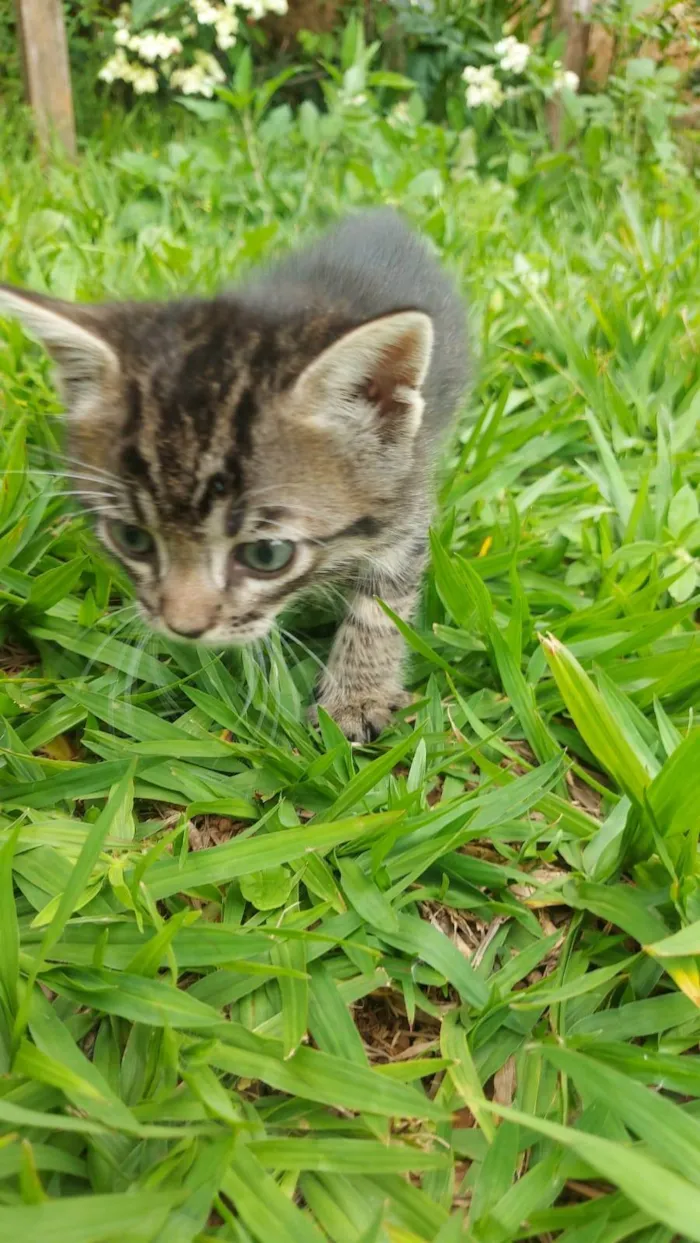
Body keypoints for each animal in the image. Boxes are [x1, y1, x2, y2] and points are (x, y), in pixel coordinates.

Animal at [2, 208, 469, 740]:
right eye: (131, 539)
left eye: (267, 555)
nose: (184, 628)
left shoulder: (405, 496)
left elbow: (382, 607)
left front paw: (356, 694)